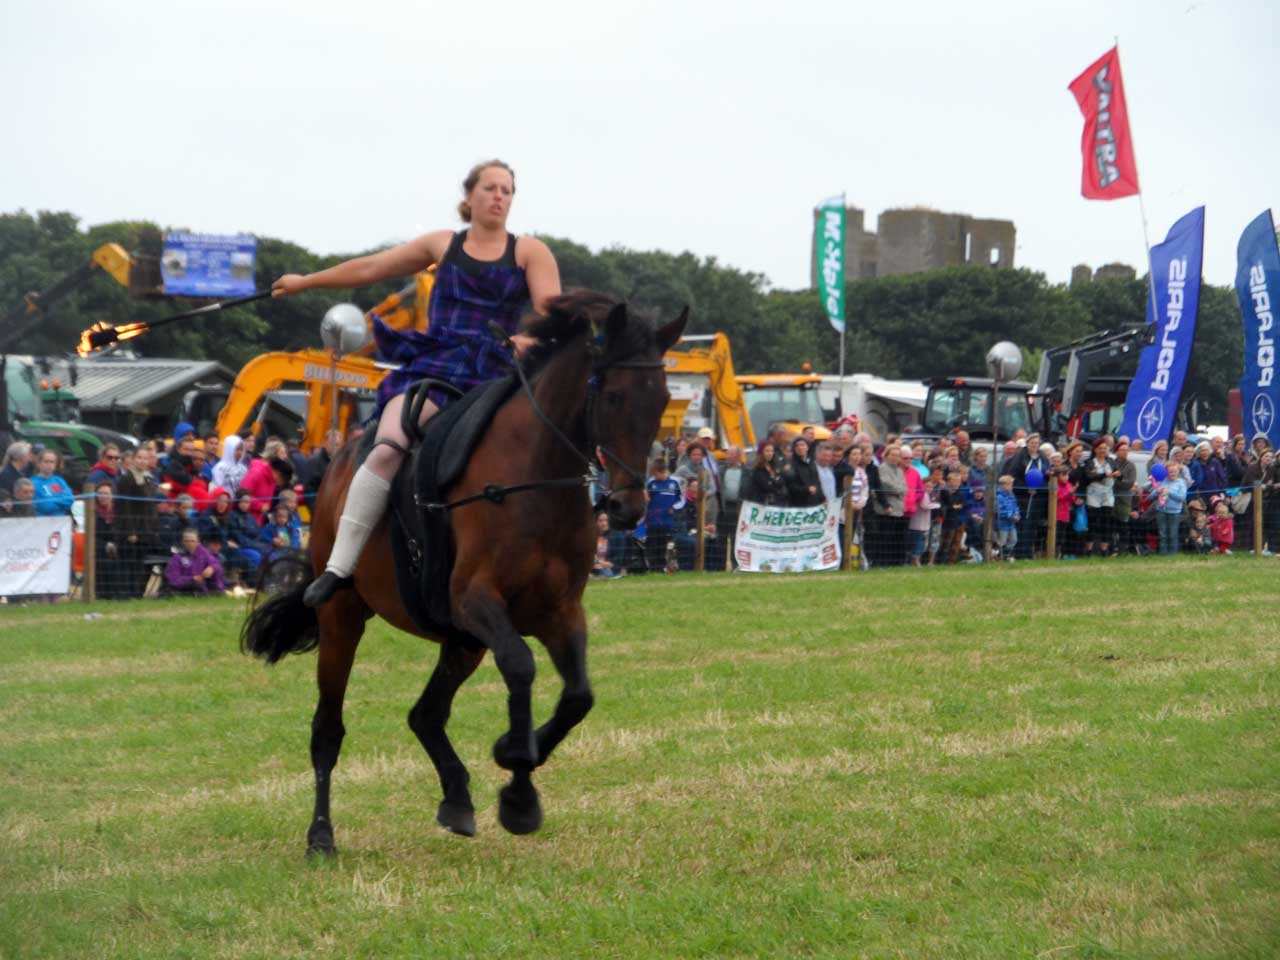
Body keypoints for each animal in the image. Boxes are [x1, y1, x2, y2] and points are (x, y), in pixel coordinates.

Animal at [236, 289, 686, 855]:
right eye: (614, 398)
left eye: (662, 400)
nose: (628, 508)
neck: (536, 480)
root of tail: (338, 464)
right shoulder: (477, 601)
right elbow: (521, 667)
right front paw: (519, 791)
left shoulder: (558, 610)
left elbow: (578, 696)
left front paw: (515, 757)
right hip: (344, 620)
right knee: (328, 729)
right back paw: (321, 834)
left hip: (463, 642)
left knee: (425, 715)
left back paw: (456, 798)